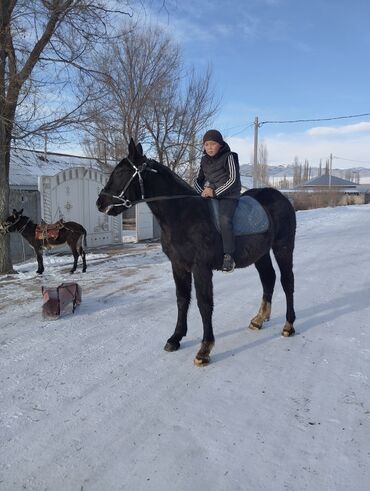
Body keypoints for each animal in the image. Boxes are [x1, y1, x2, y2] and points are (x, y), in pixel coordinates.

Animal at [97, 138, 296, 366]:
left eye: (121, 173)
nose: (100, 203)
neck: (183, 214)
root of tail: (281, 197)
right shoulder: (178, 266)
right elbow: (182, 300)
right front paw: (175, 338)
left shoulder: (201, 268)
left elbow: (204, 304)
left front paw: (204, 349)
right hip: (261, 254)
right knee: (268, 279)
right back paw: (259, 319)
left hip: (283, 247)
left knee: (287, 281)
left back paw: (289, 325)